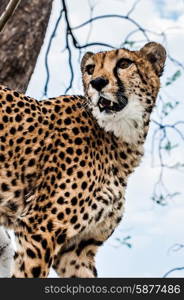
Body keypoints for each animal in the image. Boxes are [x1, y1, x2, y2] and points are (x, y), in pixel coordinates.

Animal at [0, 41, 166, 276]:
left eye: (124, 63)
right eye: (90, 69)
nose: (97, 82)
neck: (119, 137)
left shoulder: (76, 252)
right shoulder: (40, 228)